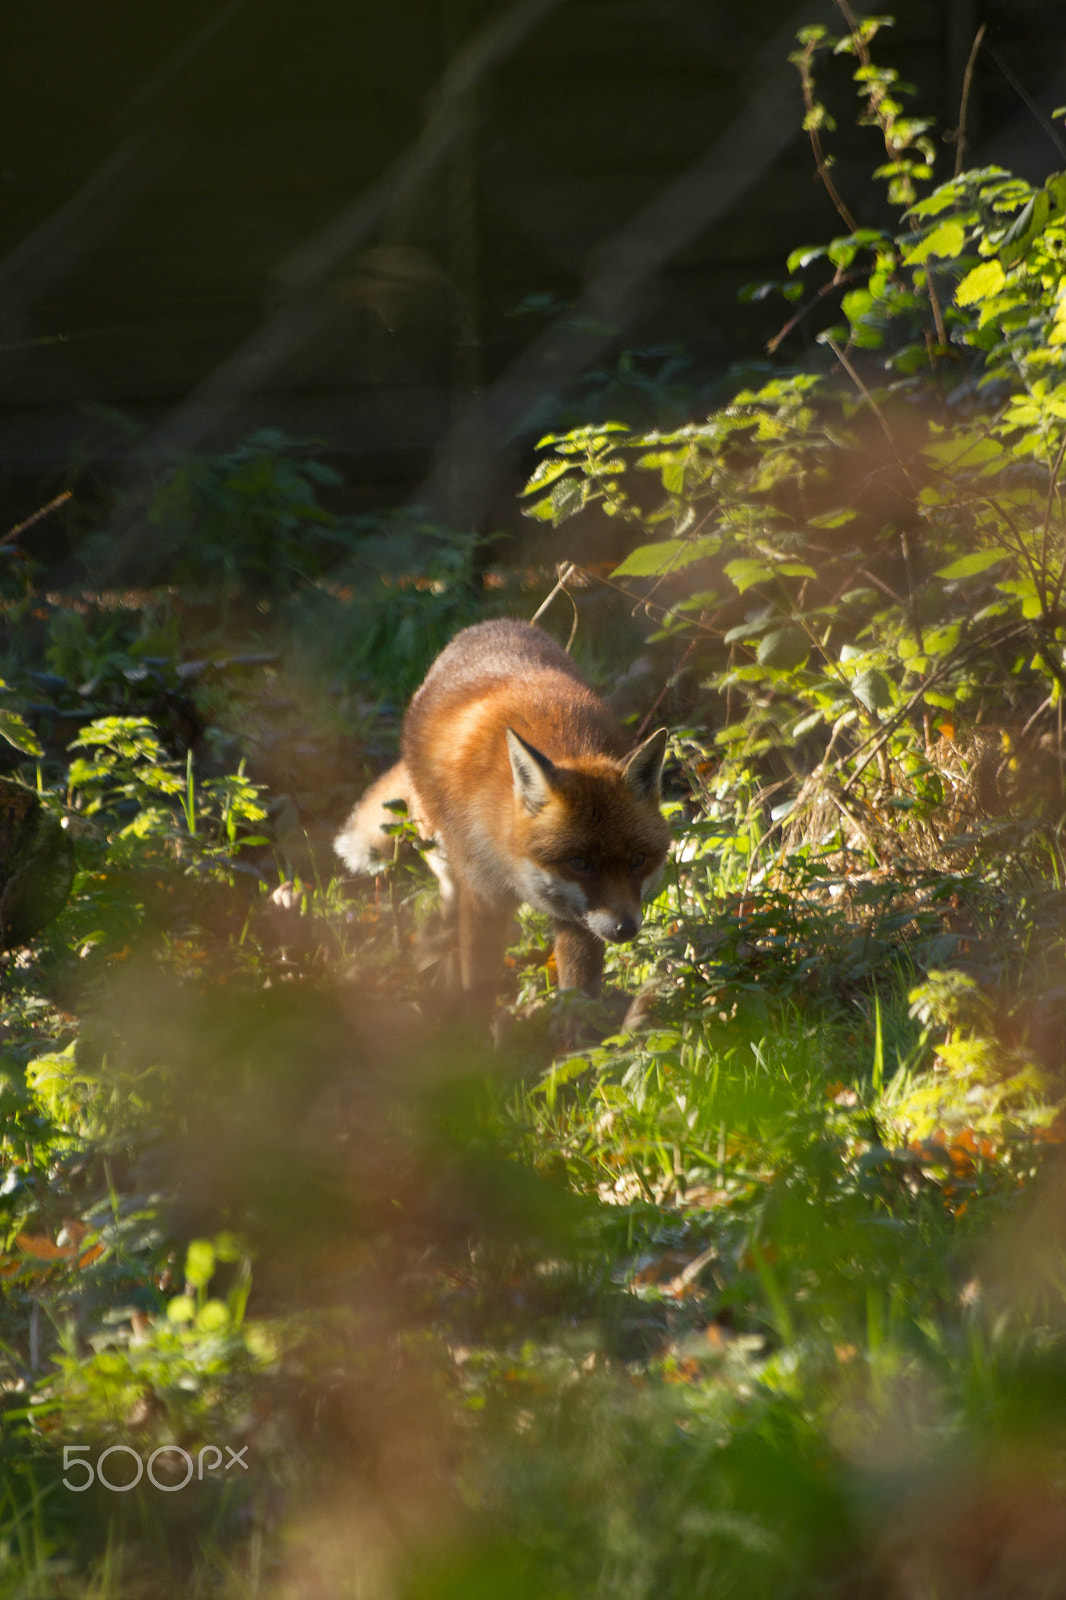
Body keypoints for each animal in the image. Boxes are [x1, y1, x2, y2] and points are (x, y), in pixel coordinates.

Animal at [334, 619, 671, 1014]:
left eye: (637, 860)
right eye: (579, 862)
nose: (625, 928)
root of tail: (491, 624)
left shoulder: (576, 919)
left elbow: (578, 997)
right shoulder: (483, 898)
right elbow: (477, 990)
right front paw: (472, 1027)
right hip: (443, 860)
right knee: (444, 918)